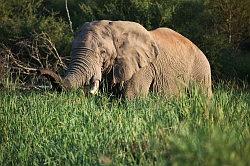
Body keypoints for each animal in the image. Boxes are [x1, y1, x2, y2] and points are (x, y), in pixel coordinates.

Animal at [38, 20, 211, 99]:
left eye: (103, 52)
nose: (40, 71)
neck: (115, 29)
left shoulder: (143, 68)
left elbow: (132, 98)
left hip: (200, 70)